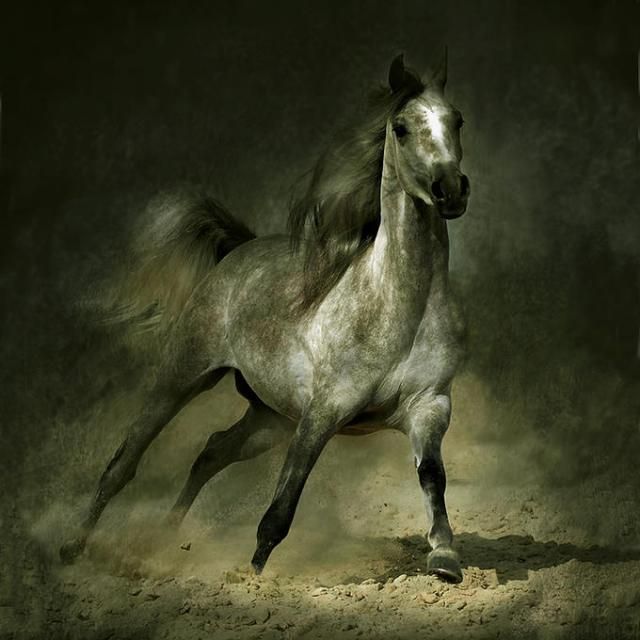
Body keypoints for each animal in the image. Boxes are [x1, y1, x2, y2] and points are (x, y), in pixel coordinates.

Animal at [60, 53, 471, 583]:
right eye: (401, 128)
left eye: (456, 120)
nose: (451, 190)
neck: (400, 305)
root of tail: (237, 251)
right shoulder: (322, 413)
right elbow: (282, 503)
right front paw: (253, 574)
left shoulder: (429, 405)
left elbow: (432, 477)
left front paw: (444, 558)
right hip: (182, 378)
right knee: (123, 463)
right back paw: (74, 548)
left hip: (268, 417)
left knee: (211, 451)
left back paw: (166, 540)